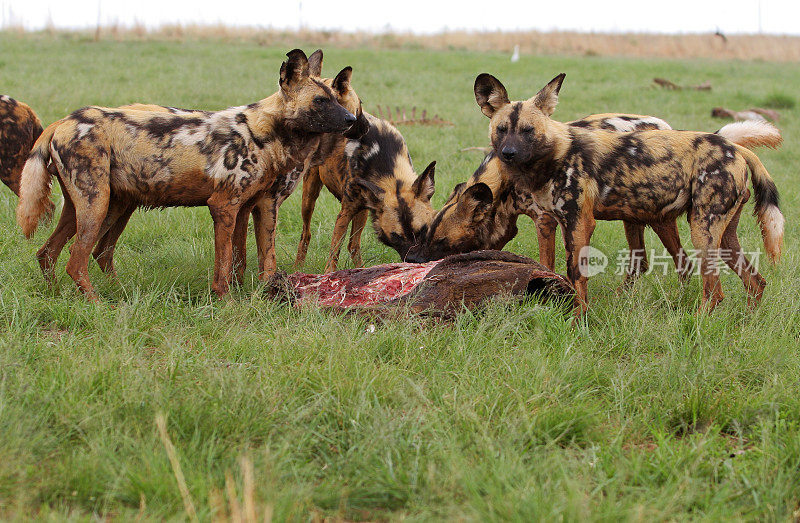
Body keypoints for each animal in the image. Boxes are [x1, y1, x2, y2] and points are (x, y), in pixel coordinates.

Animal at [16, 51, 356, 302]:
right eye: (321, 101)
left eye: (336, 98)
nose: (352, 119)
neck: (267, 133)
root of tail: (65, 120)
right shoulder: (225, 206)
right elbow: (225, 264)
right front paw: (227, 301)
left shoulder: (256, 207)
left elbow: (261, 260)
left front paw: (267, 295)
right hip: (96, 207)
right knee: (76, 260)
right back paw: (97, 304)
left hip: (95, 207)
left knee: (49, 253)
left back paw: (57, 295)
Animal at [314, 111, 434, 274]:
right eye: (396, 237)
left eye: (422, 231)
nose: (415, 260)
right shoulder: (345, 213)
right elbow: (335, 250)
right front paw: (329, 274)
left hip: (363, 211)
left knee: (353, 246)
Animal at [466, 71, 784, 318]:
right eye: (502, 129)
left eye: (528, 131)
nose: (508, 153)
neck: (553, 156)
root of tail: (736, 147)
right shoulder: (555, 222)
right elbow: (552, 270)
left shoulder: (578, 223)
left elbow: (576, 276)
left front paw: (578, 321)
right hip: (723, 235)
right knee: (755, 282)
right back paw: (747, 322)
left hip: (702, 231)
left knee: (714, 291)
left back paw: (695, 324)